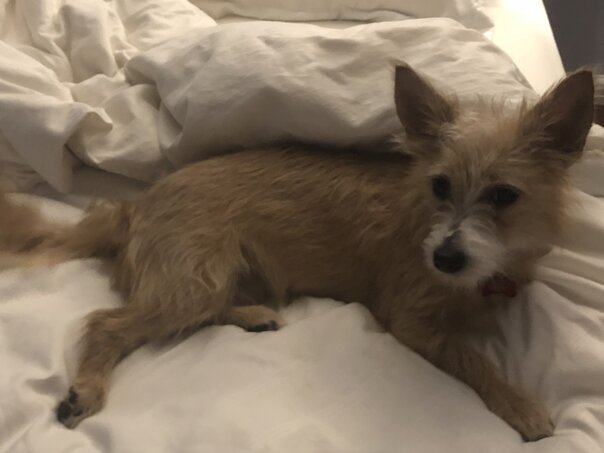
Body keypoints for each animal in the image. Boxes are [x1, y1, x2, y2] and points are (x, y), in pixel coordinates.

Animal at [1, 64, 594, 440]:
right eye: (440, 185)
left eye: (504, 195)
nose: (445, 259)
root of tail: (134, 206)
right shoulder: (410, 321)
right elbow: (472, 356)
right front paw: (521, 405)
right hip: (192, 278)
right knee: (108, 323)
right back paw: (87, 388)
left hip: (212, 280)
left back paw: (252, 315)